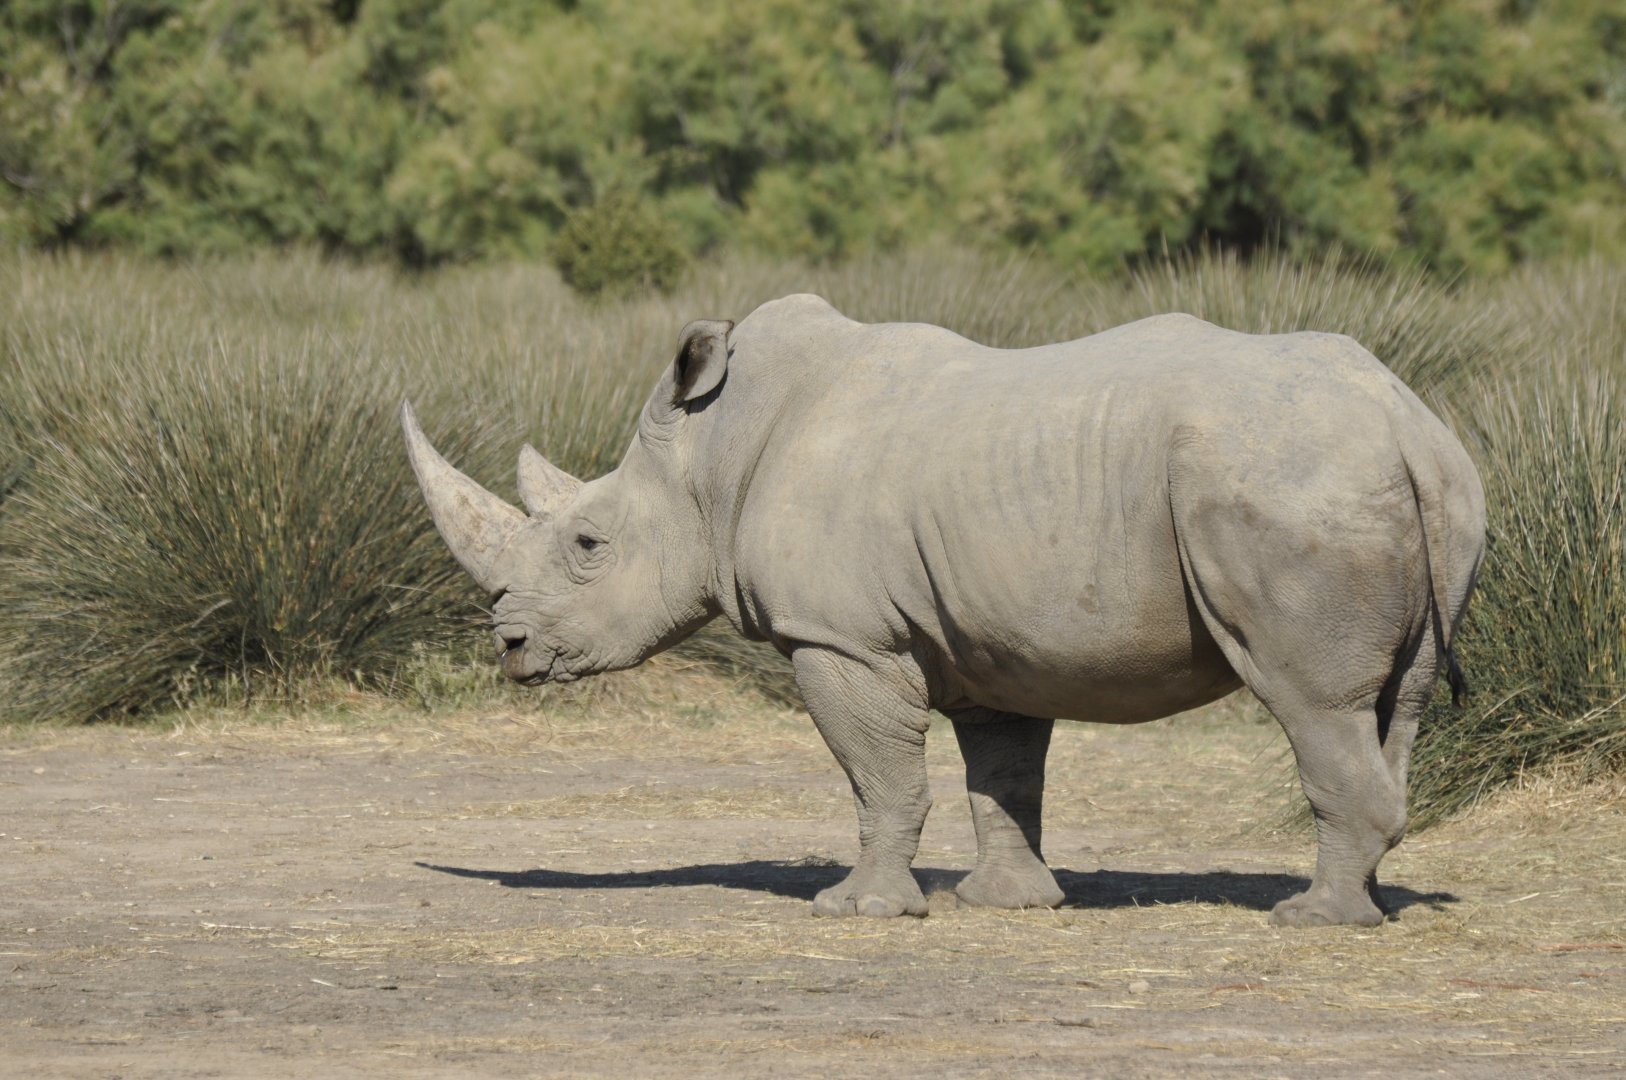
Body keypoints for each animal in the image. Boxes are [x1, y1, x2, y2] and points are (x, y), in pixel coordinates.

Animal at [402, 294, 1485, 928]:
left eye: (588, 546)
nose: (510, 646)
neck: (711, 461)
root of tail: (1403, 421)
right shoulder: (991, 636)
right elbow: (1003, 776)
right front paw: (1010, 904)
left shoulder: (842, 637)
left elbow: (881, 776)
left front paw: (859, 910)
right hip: (1422, 481)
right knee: (1395, 704)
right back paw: (1369, 898)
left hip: (1284, 481)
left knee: (1312, 703)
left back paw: (1312, 918)